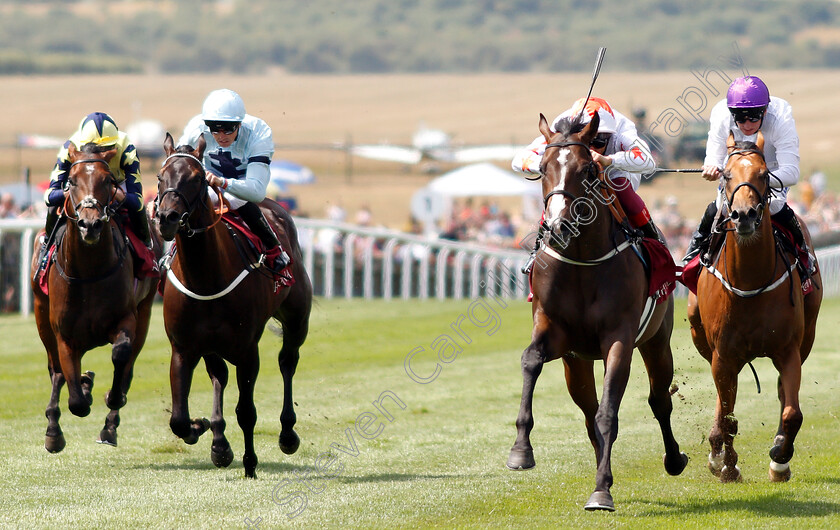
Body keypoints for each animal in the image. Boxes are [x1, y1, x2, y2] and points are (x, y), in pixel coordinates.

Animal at [29, 143, 162, 450]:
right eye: (72, 180)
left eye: (107, 181)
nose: (90, 225)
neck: (89, 271)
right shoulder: (63, 334)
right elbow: (75, 398)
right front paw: (82, 391)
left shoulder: (127, 317)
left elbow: (121, 354)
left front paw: (109, 396)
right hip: (41, 316)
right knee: (55, 370)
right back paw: (54, 428)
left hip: (146, 311)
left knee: (128, 365)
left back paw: (109, 424)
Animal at [155, 133, 312, 478]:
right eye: (160, 177)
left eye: (197, 179)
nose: (167, 218)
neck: (206, 277)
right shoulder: (183, 348)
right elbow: (178, 419)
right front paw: (203, 430)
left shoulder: (246, 350)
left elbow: (247, 412)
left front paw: (250, 464)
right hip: (212, 345)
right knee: (219, 376)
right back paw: (219, 442)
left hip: (296, 319)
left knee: (288, 361)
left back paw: (287, 434)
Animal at [508, 110, 684, 508]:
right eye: (542, 167)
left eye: (588, 168)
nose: (558, 227)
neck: (582, 261)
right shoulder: (554, 332)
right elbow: (530, 360)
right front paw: (521, 450)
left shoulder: (619, 339)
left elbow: (610, 413)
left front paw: (601, 490)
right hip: (576, 363)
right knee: (588, 412)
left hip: (657, 341)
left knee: (658, 401)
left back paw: (673, 459)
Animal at [688, 133, 820, 482]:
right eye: (725, 174)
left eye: (763, 174)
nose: (744, 215)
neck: (750, 283)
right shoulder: (723, 355)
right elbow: (729, 417)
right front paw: (728, 465)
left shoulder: (789, 350)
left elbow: (792, 412)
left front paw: (780, 458)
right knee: (723, 400)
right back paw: (716, 450)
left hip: (807, 335)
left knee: (782, 396)